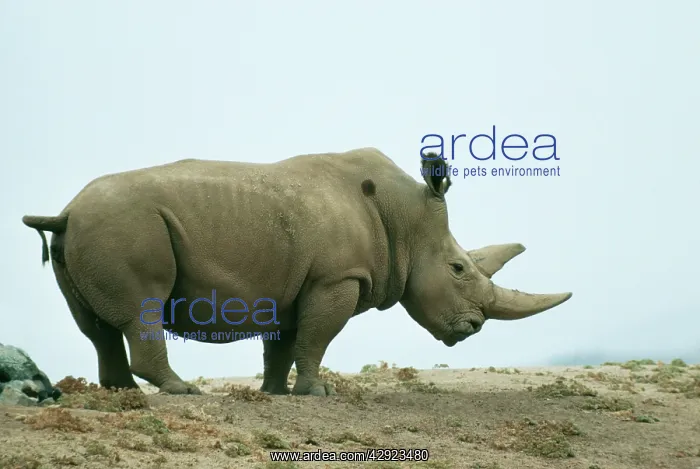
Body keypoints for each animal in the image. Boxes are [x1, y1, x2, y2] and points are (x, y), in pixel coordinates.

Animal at [22, 148, 572, 396]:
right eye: (458, 268)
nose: (473, 327)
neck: (406, 220)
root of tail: (65, 213)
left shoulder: (296, 283)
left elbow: (285, 342)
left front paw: (276, 393)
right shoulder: (338, 277)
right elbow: (318, 336)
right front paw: (316, 393)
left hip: (93, 229)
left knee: (96, 325)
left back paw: (124, 393)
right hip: (126, 225)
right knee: (144, 307)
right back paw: (181, 391)